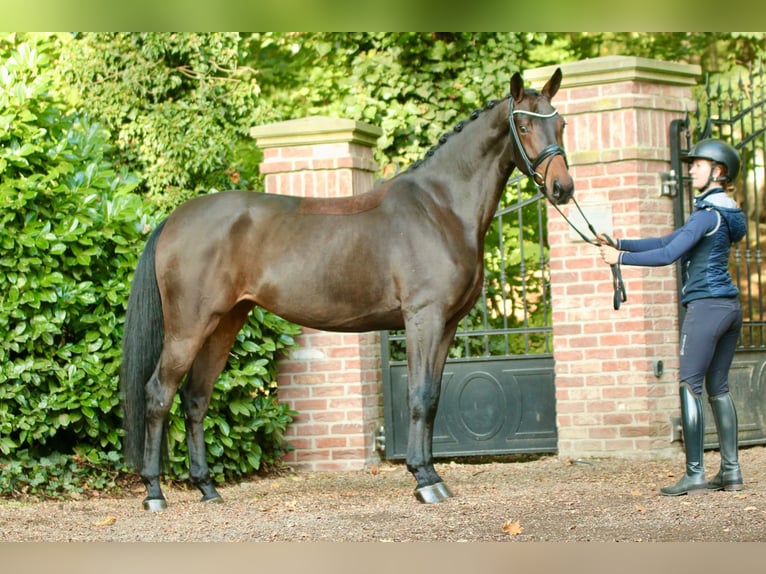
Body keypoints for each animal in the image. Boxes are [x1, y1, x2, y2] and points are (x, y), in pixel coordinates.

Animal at [121, 68, 576, 512]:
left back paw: (207, 488)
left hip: (224, 324)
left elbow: (432, 398)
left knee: (195, 397)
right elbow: (418, 395)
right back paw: (154, 493)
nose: (563, 188)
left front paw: (431, 474)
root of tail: (174, 220)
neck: (440, 207)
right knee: (158, 394)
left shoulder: (446, 324)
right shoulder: (422, 318)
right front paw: (425, 480)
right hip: (189, 327)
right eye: (523, 125)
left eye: (561, 124)